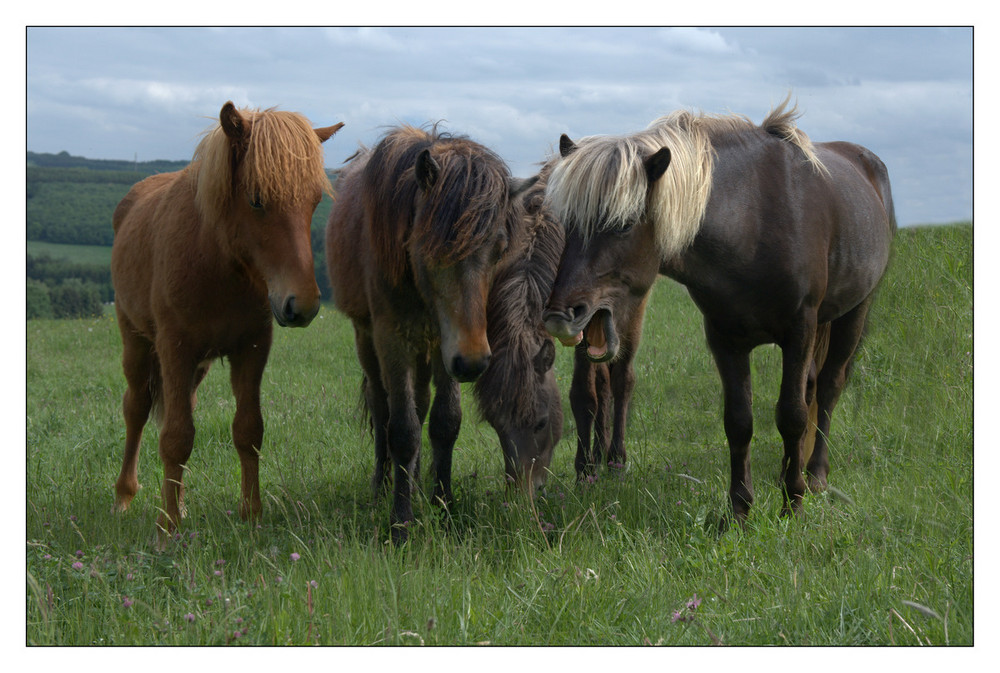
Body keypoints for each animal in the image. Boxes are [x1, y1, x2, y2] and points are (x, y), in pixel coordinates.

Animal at [112, 100, 342, 544]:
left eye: (313, 202)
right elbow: (176, 437)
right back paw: (125, 497)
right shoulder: (174, 348)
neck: (215, 260)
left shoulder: (251, 349)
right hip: (136, 342)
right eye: (256, 200)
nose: (302, 305)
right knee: (137, 408)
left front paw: (251, 515)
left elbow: (248, 430)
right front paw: (168, 527)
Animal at [544, 97, 896, 524]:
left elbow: (792, 415)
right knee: (813, 386)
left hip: (855, 311)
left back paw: (813, 477)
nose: (560, 315)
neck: (753, 221)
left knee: (828, 388)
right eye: (565, 223)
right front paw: (740, 509)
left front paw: (792, 503)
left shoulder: (799, 330)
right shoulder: (725, 339)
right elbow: (739, 421)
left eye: (623, 224)